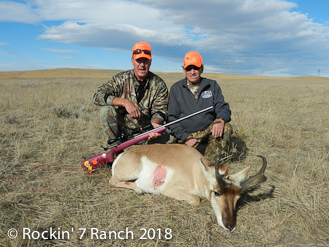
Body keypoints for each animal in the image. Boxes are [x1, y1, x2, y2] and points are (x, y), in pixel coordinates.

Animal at [109, 144, 266, 231]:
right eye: (216, 192)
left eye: (238, 197)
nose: (230, 226)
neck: (194, 168)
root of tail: (122, 155)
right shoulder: (169, 189)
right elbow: (196, 199)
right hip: (131, 172)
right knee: (113, 181)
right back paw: (138, 190)